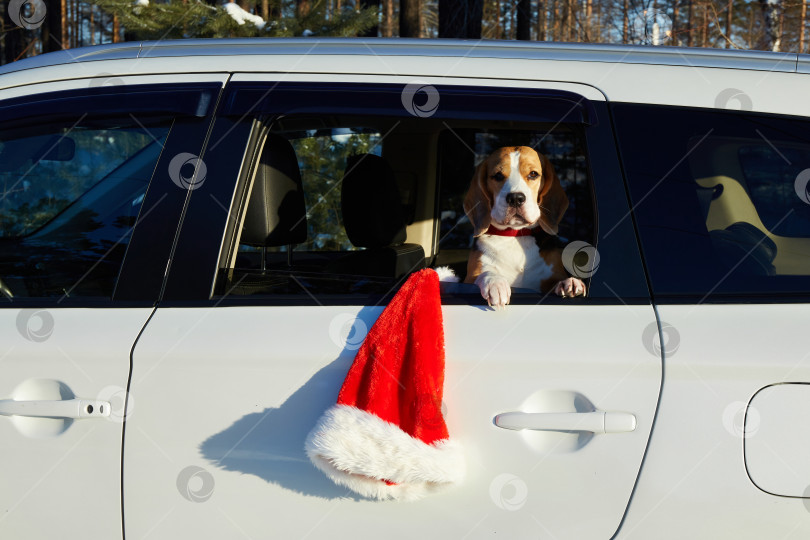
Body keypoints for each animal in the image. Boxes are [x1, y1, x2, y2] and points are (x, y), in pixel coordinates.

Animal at [464, 147, 584, 308]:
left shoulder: (551, 275)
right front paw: (495, 282)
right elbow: (484, 273)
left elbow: (557, 280)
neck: (516, 235)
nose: (515, 198)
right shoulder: (470, 278)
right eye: (498, 176)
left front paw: (568, 282)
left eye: (533, 174)